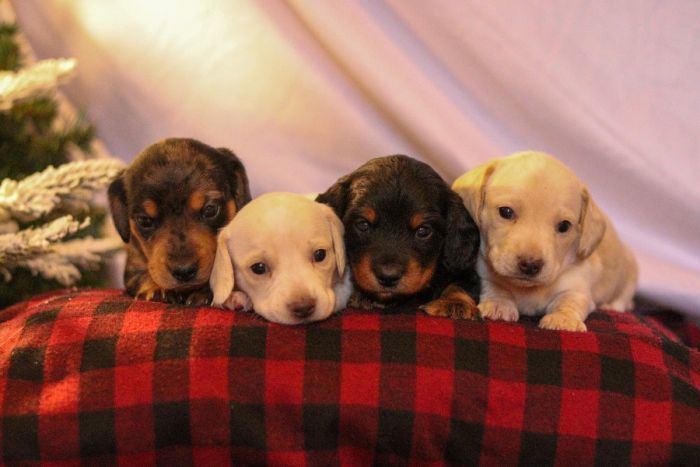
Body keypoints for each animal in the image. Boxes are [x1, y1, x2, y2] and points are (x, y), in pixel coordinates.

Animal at [108, 138, 250, 308]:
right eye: (144, 220)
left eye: (210, 209)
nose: (184, 271)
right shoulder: (133, 266)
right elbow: (142, 276)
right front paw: (157, 289)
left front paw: (207, 292)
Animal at [318, 155, 482, 320]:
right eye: (363, 224)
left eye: (423, 230)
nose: (388, 277)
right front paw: (364, 297)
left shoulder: (465, 270)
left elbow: (461, 283)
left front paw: (454, 303)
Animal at [454, 151, 640, 332]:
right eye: (505, 212)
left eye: (564, 226)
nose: (530, 265)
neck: (528, 289)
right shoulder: (483, 272)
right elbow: (494, 286)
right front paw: (498, 304)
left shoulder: (577, 287)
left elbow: (570, 300)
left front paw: (563, 319)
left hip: (630, 270)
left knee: (624, 297)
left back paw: (612, 306)